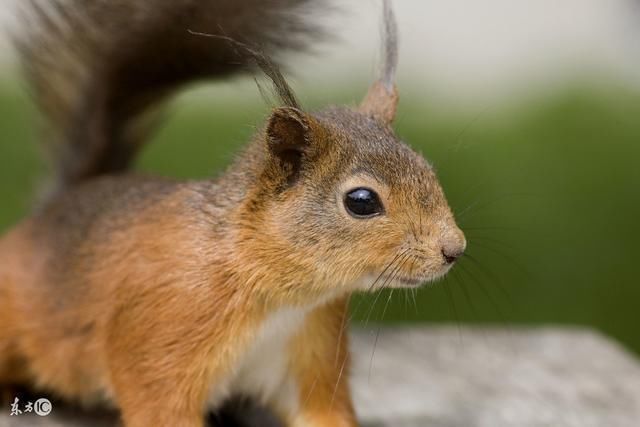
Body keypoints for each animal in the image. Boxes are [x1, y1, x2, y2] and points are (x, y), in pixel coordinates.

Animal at [0, 0, 464, 427]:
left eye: (426, 167)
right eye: (362, 201)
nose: (454, 249)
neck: (283, 298)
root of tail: (52, 209)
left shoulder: (309, 354)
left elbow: (323, 413)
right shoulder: (161, 343)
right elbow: (160, 407)